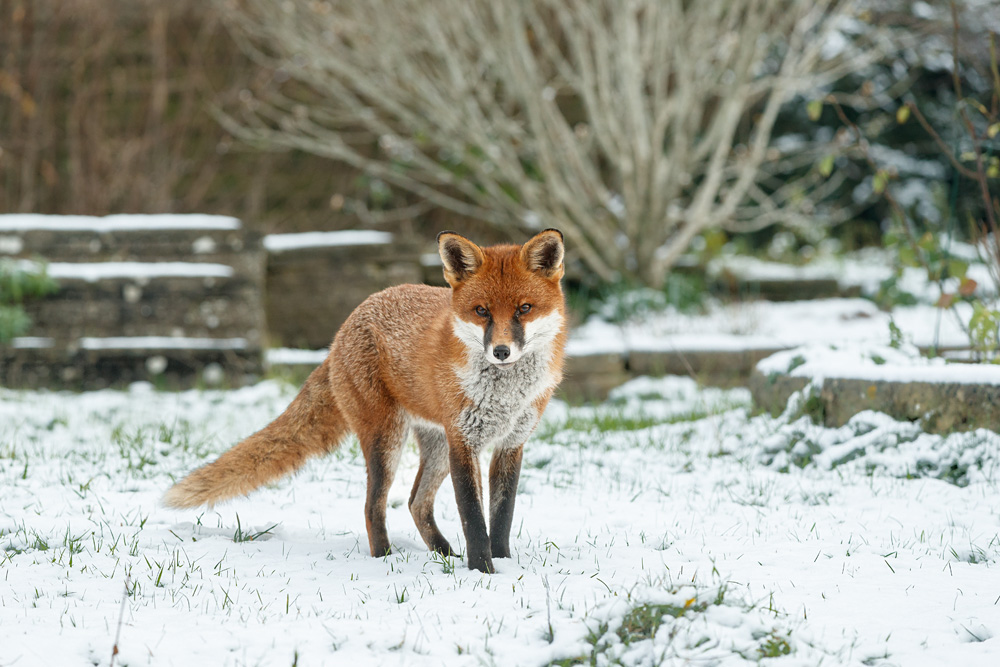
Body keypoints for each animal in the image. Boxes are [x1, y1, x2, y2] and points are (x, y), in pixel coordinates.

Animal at [164, 229, 567, 573]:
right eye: (482, 311)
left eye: (524, 308)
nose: (500, 351)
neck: (505, 395)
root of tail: (345, 326)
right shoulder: (464, 442)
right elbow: (473, 518)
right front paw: (482, 571)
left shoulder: (511, 444)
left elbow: (501, 517)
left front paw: (502, 563)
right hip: (387, 440)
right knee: (374, 506)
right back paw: (386, 559)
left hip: (436, 446)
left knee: (415, 502)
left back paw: (443, 554)